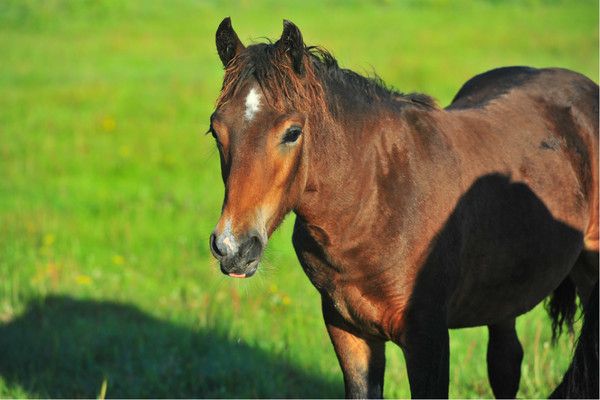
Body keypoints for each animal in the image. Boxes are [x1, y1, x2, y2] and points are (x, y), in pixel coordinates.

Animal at [207, 18, 600, 396]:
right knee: (505, 362)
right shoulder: (347, 330)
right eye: (215, 131)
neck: (376, 202)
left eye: (292, 133)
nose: (233, 248)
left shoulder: (428, 337)